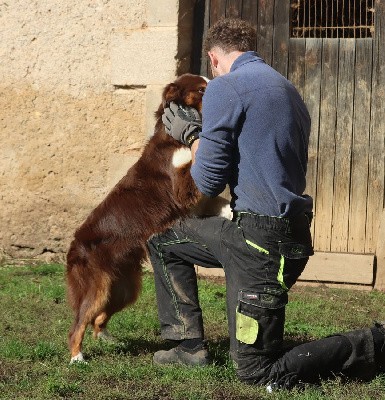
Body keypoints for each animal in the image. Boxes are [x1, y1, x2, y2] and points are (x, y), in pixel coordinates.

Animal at [66, 73, 230, 364]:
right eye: (201, 89)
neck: (173, 138)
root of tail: (74, 245)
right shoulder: (182, 190)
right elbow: (196, 165)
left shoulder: (197, 203)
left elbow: (218, 200)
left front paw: (232, 211)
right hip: (96, 289)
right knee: (79, 324)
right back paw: (77, 358)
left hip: (124, 290)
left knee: (98, 318)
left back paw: (110, 340)